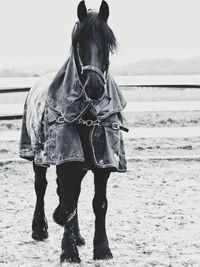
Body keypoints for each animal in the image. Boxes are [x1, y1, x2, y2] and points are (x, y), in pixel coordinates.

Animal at [19, 0, 128, 264]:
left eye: (107, 43)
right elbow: (67, 203)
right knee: (41, 186)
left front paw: (102, 249)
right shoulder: (67, 159)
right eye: (79, 42)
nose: (95, 87)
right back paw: (40, 229)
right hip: (38, 155)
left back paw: (76, 236)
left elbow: (98, 203)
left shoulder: (102, 161)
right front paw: (68, 253)